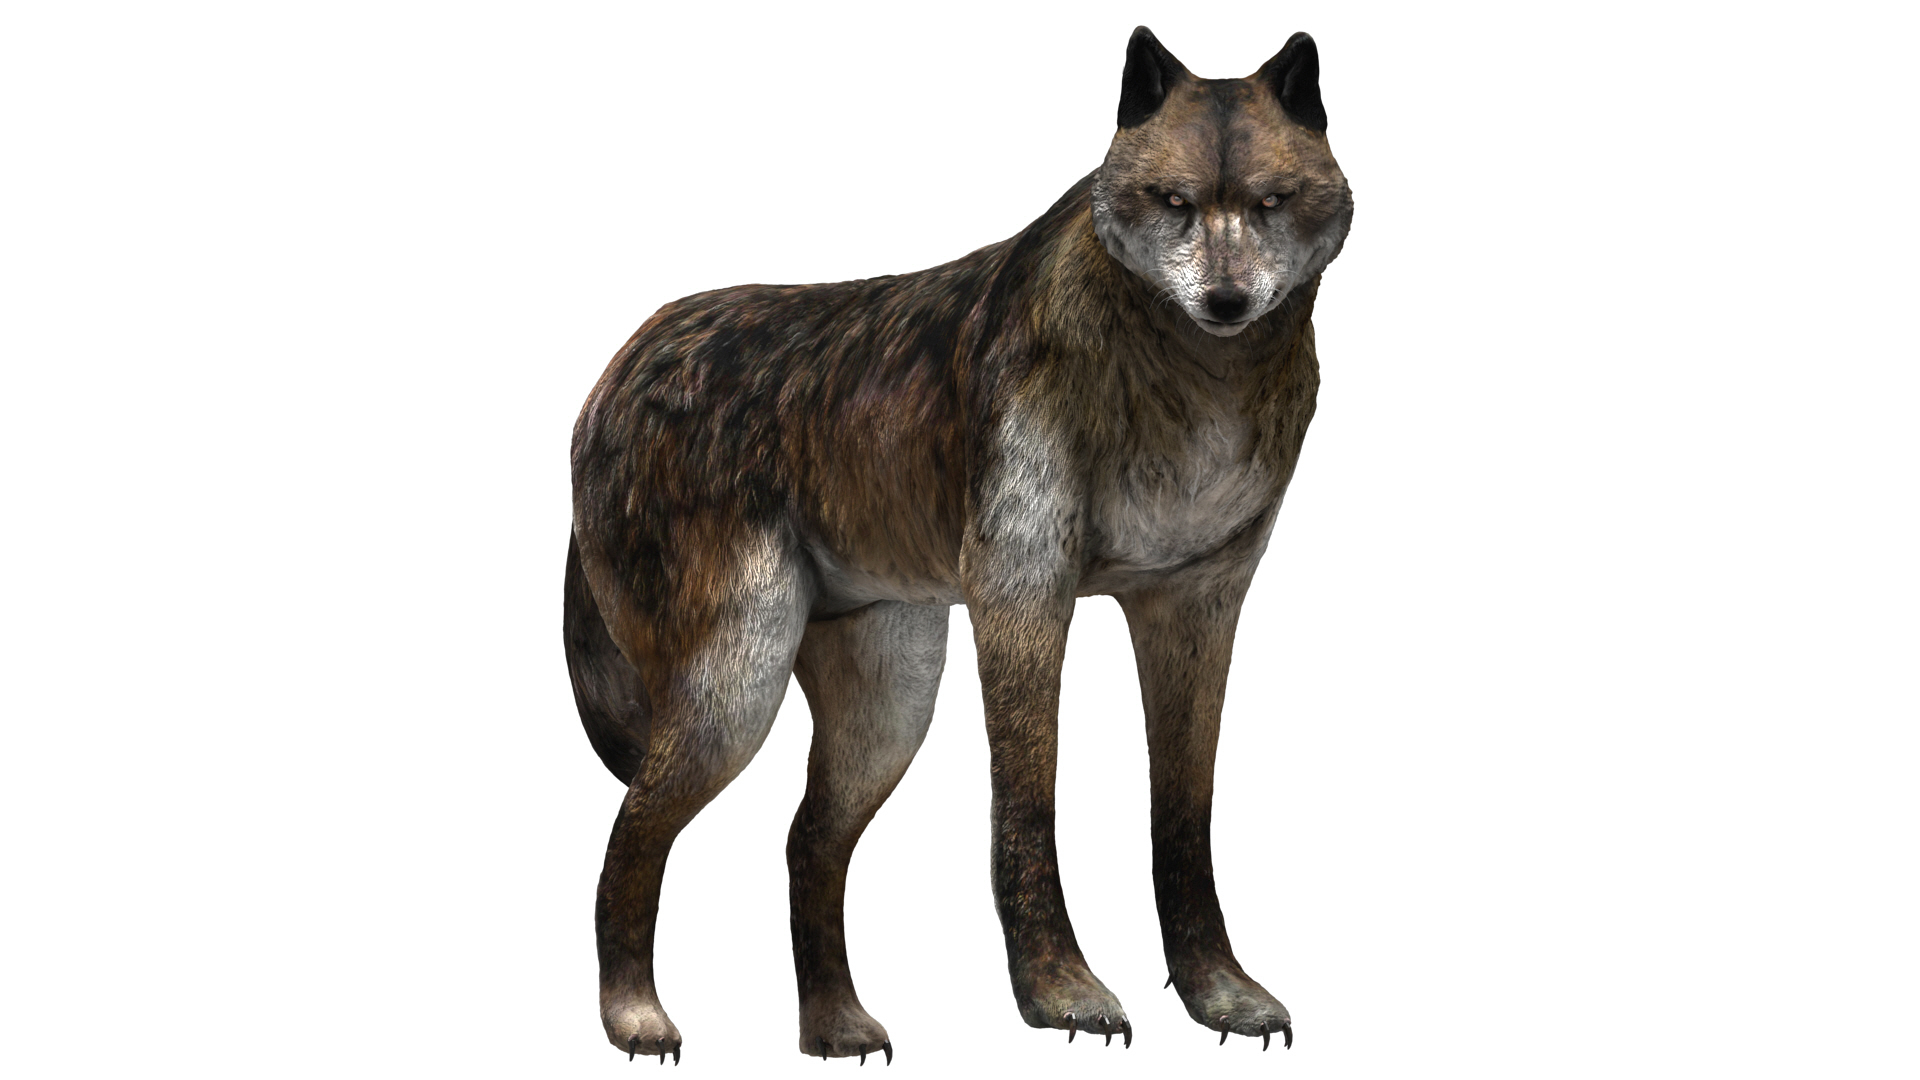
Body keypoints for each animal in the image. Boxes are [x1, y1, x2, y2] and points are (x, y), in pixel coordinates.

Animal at [565, 26, 1353, 1063]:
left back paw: (834, 1025)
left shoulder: (1198, 609)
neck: (1194, 386)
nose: (1226, 301)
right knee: (631, 830)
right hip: (735, 689)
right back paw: (635, 1018)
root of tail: (615, 369)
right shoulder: (1022, 599)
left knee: (805, 841)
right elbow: (1028, 804)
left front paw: (1219, 993)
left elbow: (1184, 818)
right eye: (1174, 202)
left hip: (889, 707)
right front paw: (1061, 992)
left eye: (1270, 202)